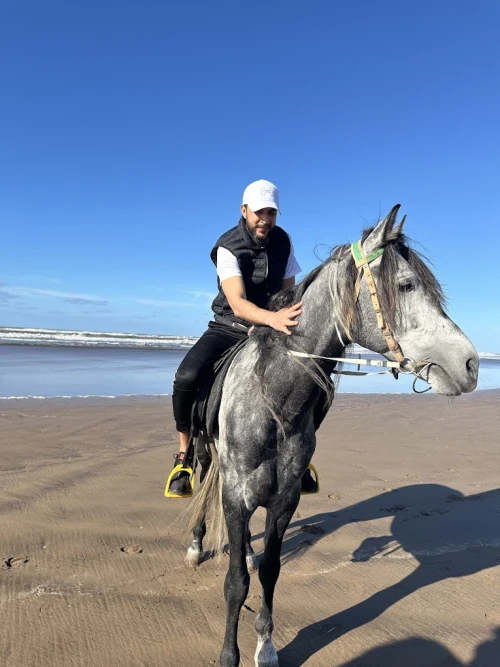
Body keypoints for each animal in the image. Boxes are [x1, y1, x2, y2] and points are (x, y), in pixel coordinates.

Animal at [183, 205, 476, 667]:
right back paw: (196, 544)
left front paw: (266, 646)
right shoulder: (235, 493)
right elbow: (235, 583)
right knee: (199, 488)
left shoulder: (284, 500)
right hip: (204, 452)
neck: (273, 399)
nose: (471, 365)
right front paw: (229, 654)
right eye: (406, 284)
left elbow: (269, 571)